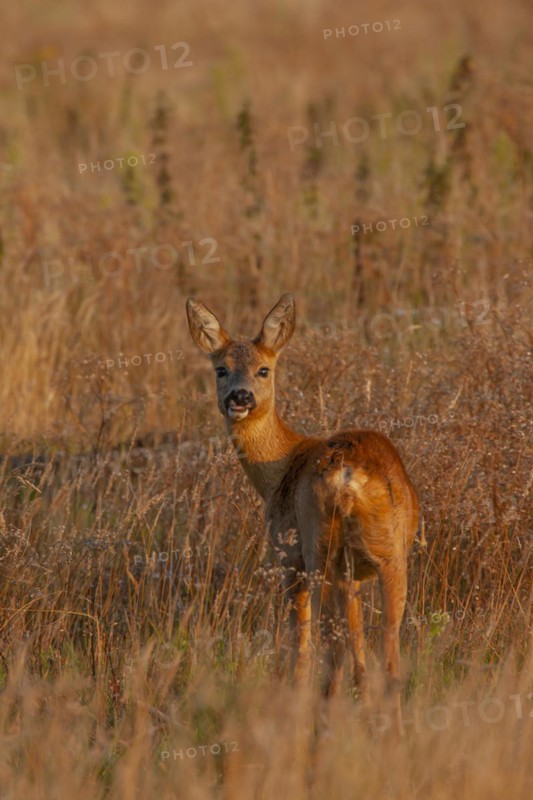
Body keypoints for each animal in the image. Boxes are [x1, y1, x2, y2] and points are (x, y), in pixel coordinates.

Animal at [186, 294, 420, 702]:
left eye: (264, 369)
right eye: (221, 369)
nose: (240, 397)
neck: (281, 466)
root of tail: (346, 478)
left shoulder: (288, 556)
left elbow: (301, 640)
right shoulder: (355, 573)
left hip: (317, 552)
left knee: (329, 648)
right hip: (385, 555)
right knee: (384, 656)